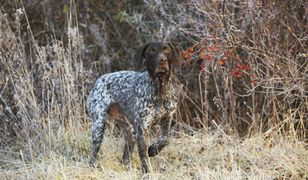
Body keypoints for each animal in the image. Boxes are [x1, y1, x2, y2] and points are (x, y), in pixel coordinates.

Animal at [87, 42, 180, 173]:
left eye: (167, 50)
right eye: (151, 51)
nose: (162, 60)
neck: (160, 89)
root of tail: (99, 80)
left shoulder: (168, 119)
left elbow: (165, 139)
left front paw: (153, 150)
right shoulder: (142, 130)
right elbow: (144, 157)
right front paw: (147, 173)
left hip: (129, 130)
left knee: (126, 155)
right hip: (99, 126)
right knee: (93, 154)